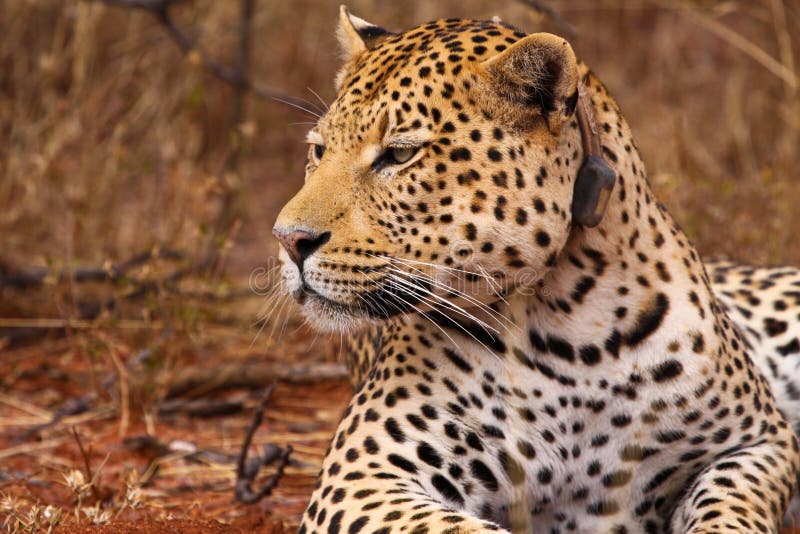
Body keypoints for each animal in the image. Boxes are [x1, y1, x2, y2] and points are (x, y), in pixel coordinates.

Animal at [272, 8, 800, 534]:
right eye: (318, 151)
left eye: (400, 154)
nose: (289, 240)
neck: (577, 325)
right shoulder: (362, 474)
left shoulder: (760, 440)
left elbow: (726, 506)